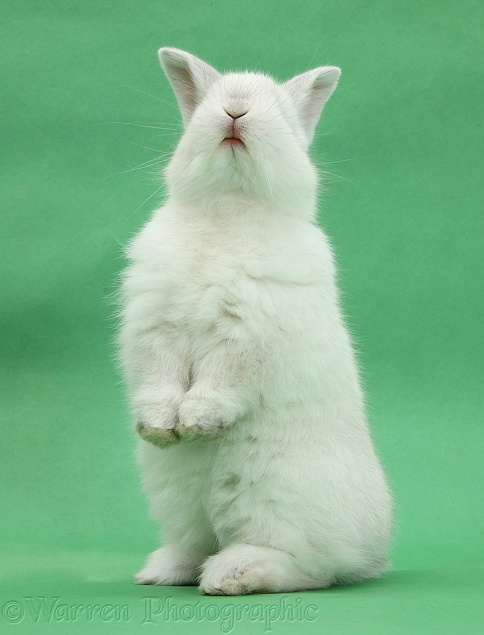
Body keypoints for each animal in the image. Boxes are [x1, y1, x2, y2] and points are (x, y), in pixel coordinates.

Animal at [118, 46, 394, 596]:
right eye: (208, 106)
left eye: (282, 115)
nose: (235, 111)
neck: (229, 208)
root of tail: (373, 554)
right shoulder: (153, 327)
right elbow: (157, 375)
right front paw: (160, 428)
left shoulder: (250, 329)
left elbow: (226, 375)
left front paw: (197, 422)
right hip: (177, 498)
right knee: (197, 540)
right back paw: (162, 571)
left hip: (276, 500)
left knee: (308, 567)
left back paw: (234, 574)